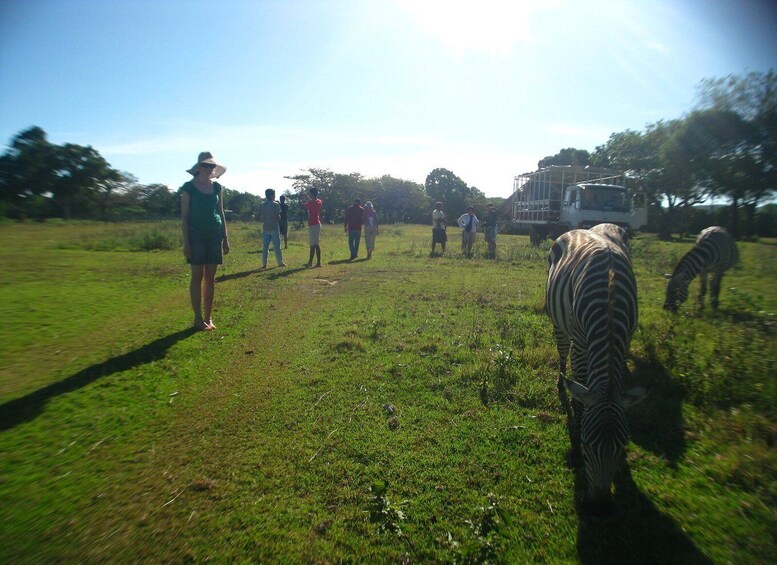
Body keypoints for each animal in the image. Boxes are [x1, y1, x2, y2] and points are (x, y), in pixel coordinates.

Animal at [544, 225, 644, 506]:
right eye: (588, 445)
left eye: (622, 447)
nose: (601, 506)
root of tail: (584, 228)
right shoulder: (580, 340)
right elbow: (580, 393)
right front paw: (574, 444)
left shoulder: (627, 336)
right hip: (559, 323)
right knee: (562, 353)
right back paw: (560, 382)